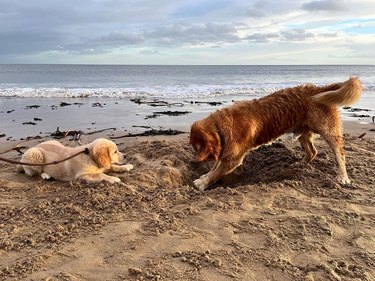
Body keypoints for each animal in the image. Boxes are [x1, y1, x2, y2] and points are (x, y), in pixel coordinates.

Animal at [191, 76, 364, 190]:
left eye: (199, 147)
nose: (194, 161)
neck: (220, 126)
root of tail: (319, 88)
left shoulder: (233, 157)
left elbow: (217, 171)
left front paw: (202, 183)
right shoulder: (226, 150)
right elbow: (215, 167)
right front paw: (204, 177)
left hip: (328, 131)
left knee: (339, 153)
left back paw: (343, 177)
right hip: (303, 132)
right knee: (312, 151)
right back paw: (300, 164)